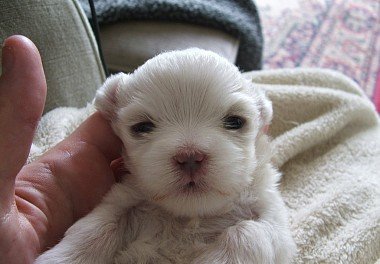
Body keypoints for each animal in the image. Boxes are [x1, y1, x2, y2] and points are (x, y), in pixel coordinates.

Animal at [35, 48, 296, 262]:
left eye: (235, 121)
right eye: (142, 127)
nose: (190, 157)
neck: (190, 214)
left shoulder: (274, 222)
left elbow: (249, 232)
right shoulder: (120, 200)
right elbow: (97, 226)